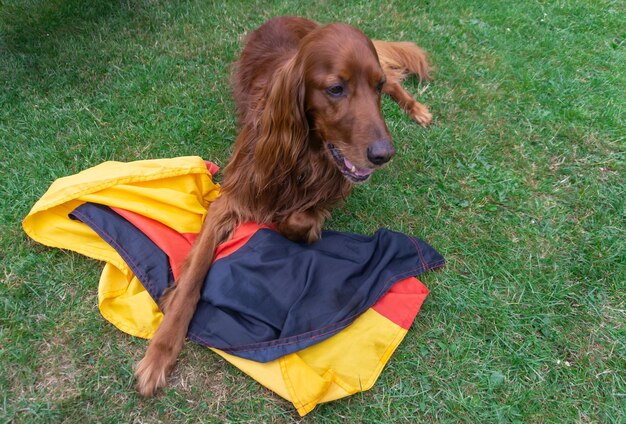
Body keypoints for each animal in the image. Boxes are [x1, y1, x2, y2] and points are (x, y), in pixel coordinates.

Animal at [135, 14, 432, 396]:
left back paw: (418, 108)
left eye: (375, 87)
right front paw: (160, 350)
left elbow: (298, 219)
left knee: (397, 78)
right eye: (336, 89)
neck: (305, 152)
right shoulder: (231, 197)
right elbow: (193, 279)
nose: (384, 155)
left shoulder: (330, 189)